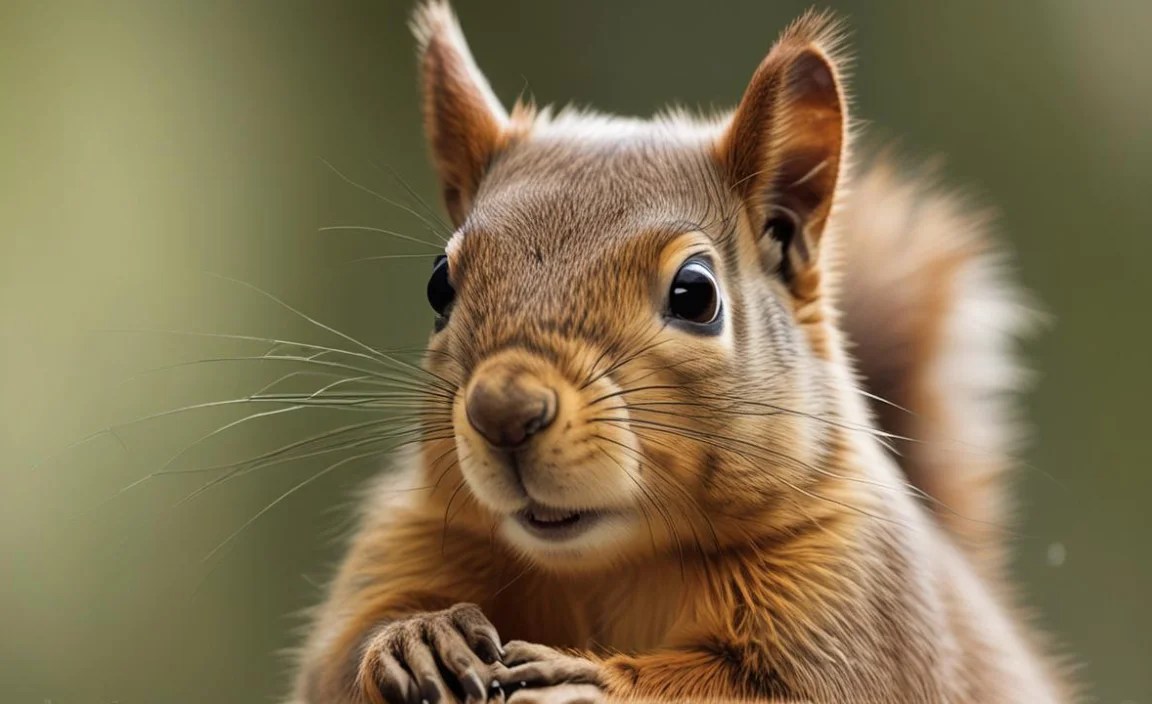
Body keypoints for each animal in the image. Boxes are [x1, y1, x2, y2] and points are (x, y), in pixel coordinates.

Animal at [289, 2, 1074, 703]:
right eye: (438, 284)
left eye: (696, 294)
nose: (503, 409)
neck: (614, 565)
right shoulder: (411, 535)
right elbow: (335, 660)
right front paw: (416, 638)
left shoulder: (864, 607)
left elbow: (773, 692)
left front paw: (593, 682)